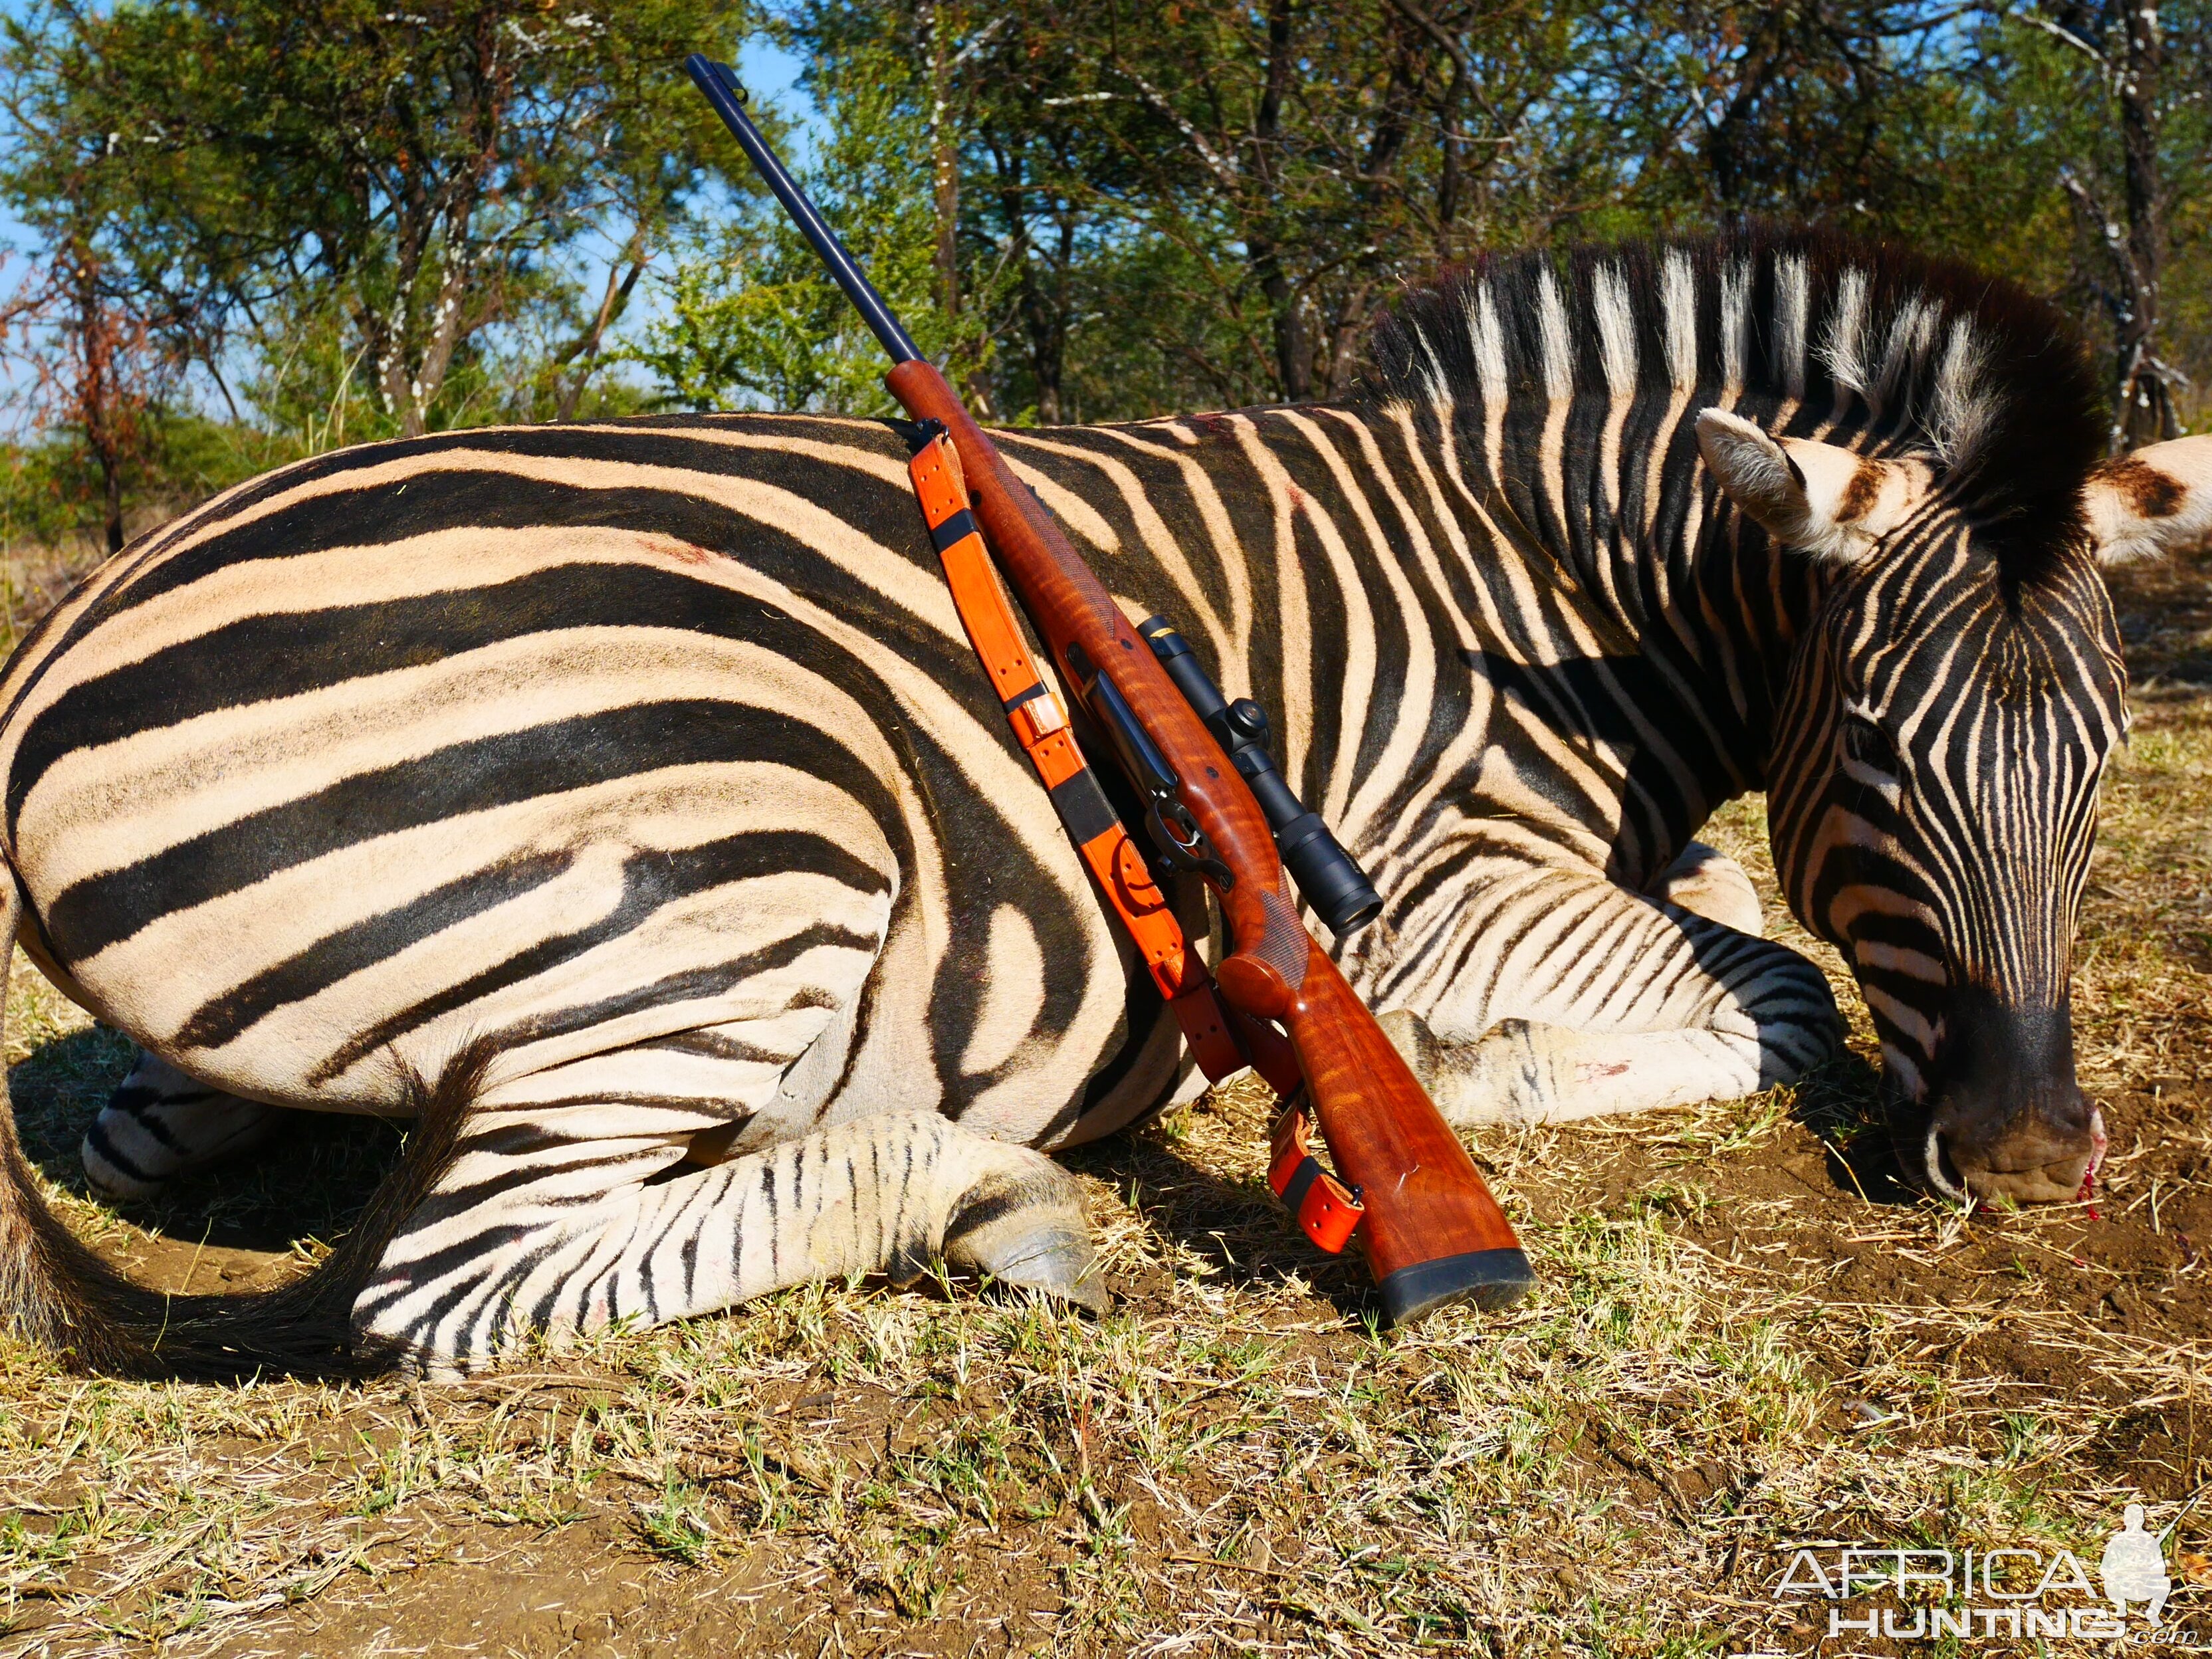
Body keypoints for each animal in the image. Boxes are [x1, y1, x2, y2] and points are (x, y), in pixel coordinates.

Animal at [4, 231, 2212, 1380]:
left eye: (2112, 756)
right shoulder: (1427, 878)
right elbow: (1775, 994)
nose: (2030, 1160)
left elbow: (1741, 913)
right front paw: (1472, 1072)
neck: (1545, 589)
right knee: (443, 1282)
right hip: (753, 836)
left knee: (152, 1126)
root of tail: (61, 648)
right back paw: (987, 1191)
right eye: (1879, 745)